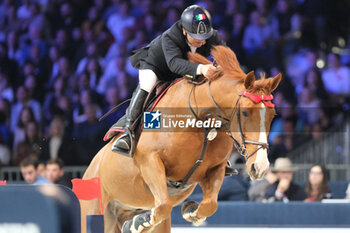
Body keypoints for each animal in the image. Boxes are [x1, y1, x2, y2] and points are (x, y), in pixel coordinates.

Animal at [80, 45, 282, 233]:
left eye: (272, 115)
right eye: (245, 112)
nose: (260, 167)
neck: (203, 122)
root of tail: (88, 170)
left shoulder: (215, 169)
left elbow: (209, 205)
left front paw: (190, 211)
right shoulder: (150, 161)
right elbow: (162, 206)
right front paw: (140, 222)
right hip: (96, 211)